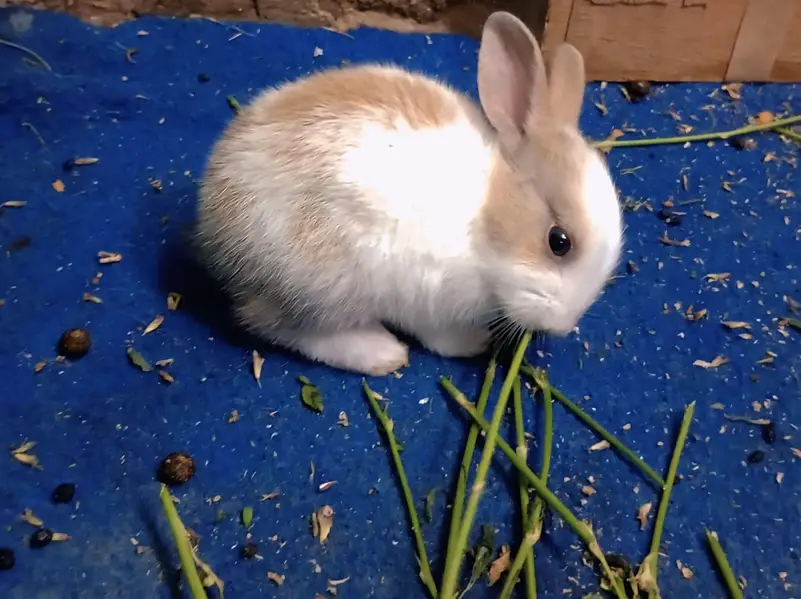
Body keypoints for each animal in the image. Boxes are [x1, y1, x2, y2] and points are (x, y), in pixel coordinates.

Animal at [195, 11, 623, 376]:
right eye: (559, 242)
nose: (564, 325)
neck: (486, 214)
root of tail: (213, 223)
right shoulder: (429, 296)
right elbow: (438, 335)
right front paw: (472, 342)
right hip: (319, 284)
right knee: (281, 326)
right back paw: (381, 353)